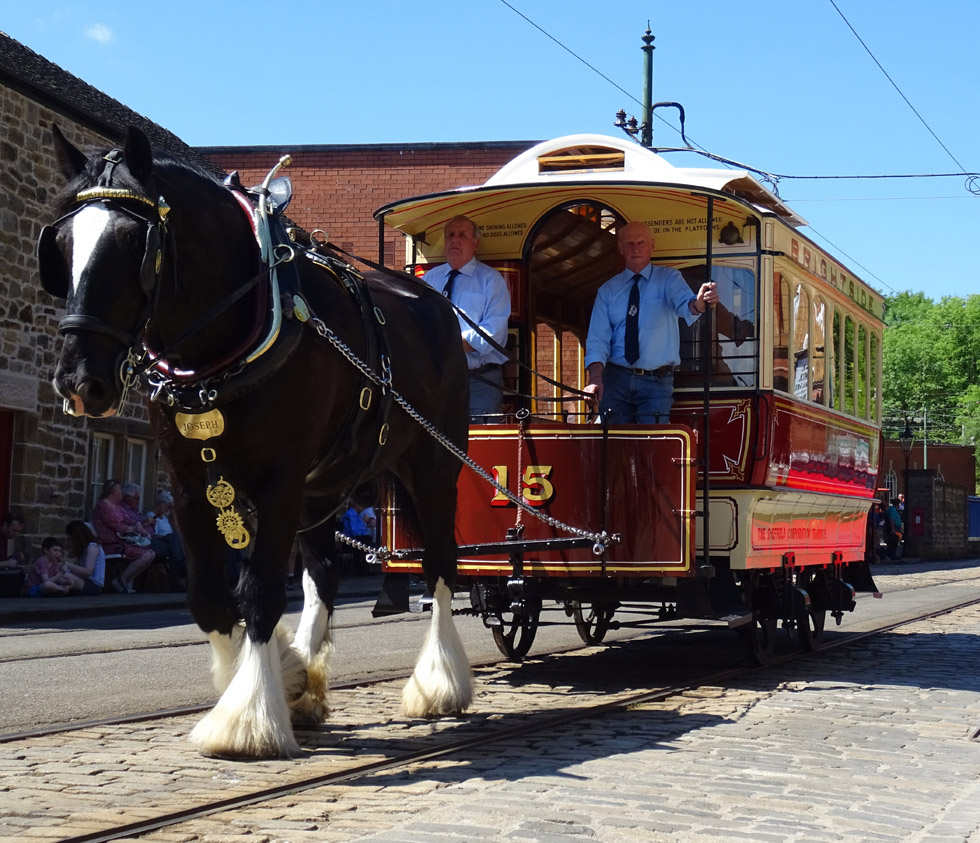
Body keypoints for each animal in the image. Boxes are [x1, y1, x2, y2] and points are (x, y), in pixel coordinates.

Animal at [41, 129, 474, 760]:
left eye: (133, 245)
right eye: (61, 244)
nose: (79, 382)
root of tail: (437, 304)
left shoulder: (278, 482)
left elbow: (261, 591)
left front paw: (248, 719)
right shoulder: (190, 485)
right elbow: (210, 597)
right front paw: (278, 681)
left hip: (432, 464)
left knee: (442, 564)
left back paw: (440, 684)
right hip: (325, 485)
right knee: (324, 574)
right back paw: (308, 688)